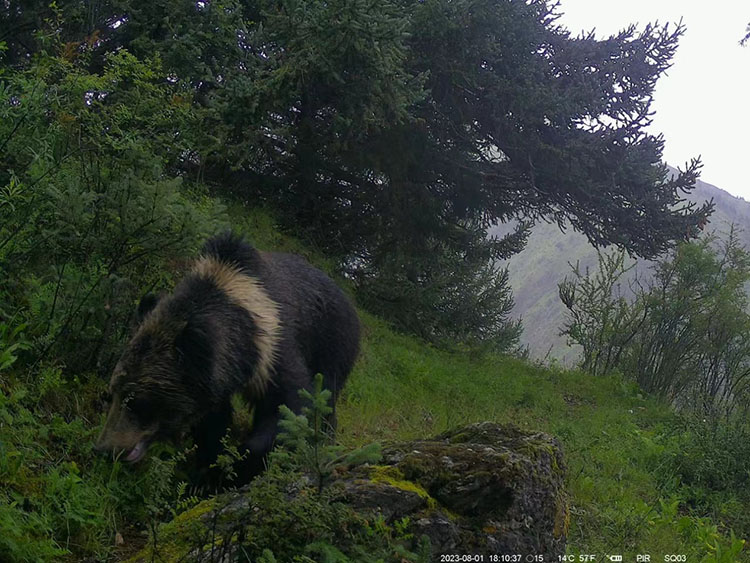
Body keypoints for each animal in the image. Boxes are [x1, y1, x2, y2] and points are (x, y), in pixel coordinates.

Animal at [94, 231, 362, 482]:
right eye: (111, 393)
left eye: (136, 401)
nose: (106, 449)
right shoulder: (213, 379)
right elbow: (213, 421)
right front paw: (209, 463)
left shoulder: (275, 348)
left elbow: (291, 406)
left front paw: (236, 465)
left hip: (333, 344)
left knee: (327, 394)